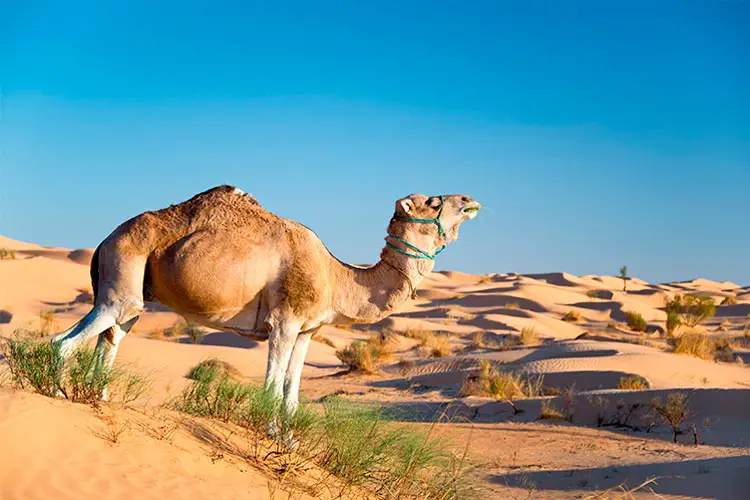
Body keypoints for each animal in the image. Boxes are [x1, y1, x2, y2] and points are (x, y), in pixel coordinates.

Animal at [51, 186, 482, 444]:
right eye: (433, 201)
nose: (469, 199)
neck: (336, 275)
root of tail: (104, 240)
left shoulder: (308, 330)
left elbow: (292, 392)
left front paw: (291, 441)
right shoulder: (284, 324)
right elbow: (273, 386)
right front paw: (271, 434)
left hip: (133, 289)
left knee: (113, 337)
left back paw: (97, 399)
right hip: (122, 272)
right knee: (65, 339)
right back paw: (59, 393)